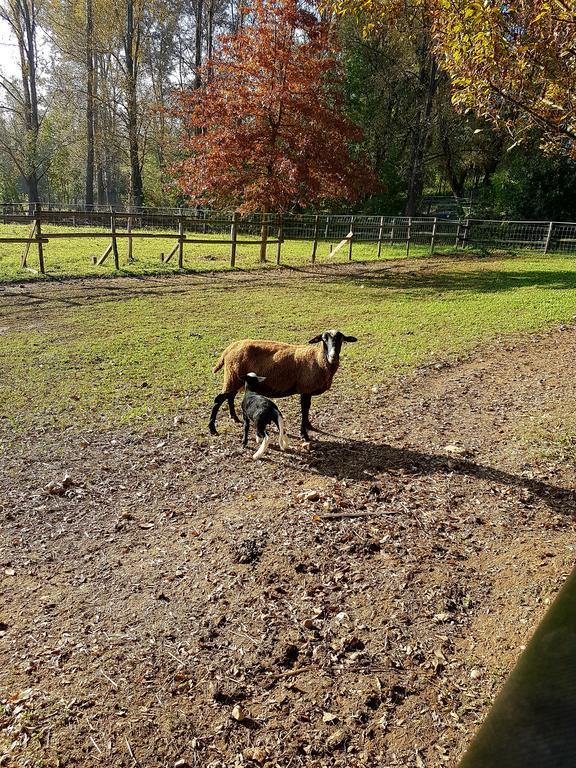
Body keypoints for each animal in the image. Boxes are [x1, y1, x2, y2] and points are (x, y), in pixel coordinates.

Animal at [209, 328, 358, 440]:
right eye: (323, 339)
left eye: (342, 339)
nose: (333, 357)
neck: (319, 360)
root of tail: (229, 348)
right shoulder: (305, 389)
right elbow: (304, 409)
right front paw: (304, 434)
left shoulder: (307, 390)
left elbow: (307, 409)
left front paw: (309, 426)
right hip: (233, 377)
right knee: (218, 399)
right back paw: (212, 429)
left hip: (234, 378)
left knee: (230, 396)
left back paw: (234, 418)